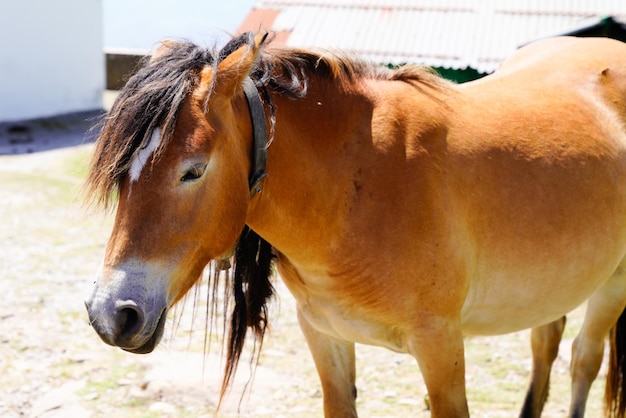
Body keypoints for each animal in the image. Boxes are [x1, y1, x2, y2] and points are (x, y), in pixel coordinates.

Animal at [84, 33, 624, 418]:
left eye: (192, 170)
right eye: (122, 173)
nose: (110, 314)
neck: (357, 187)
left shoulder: (441, 347)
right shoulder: (325, 336)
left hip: (611, 287)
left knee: (583, 360)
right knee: (547, 344)